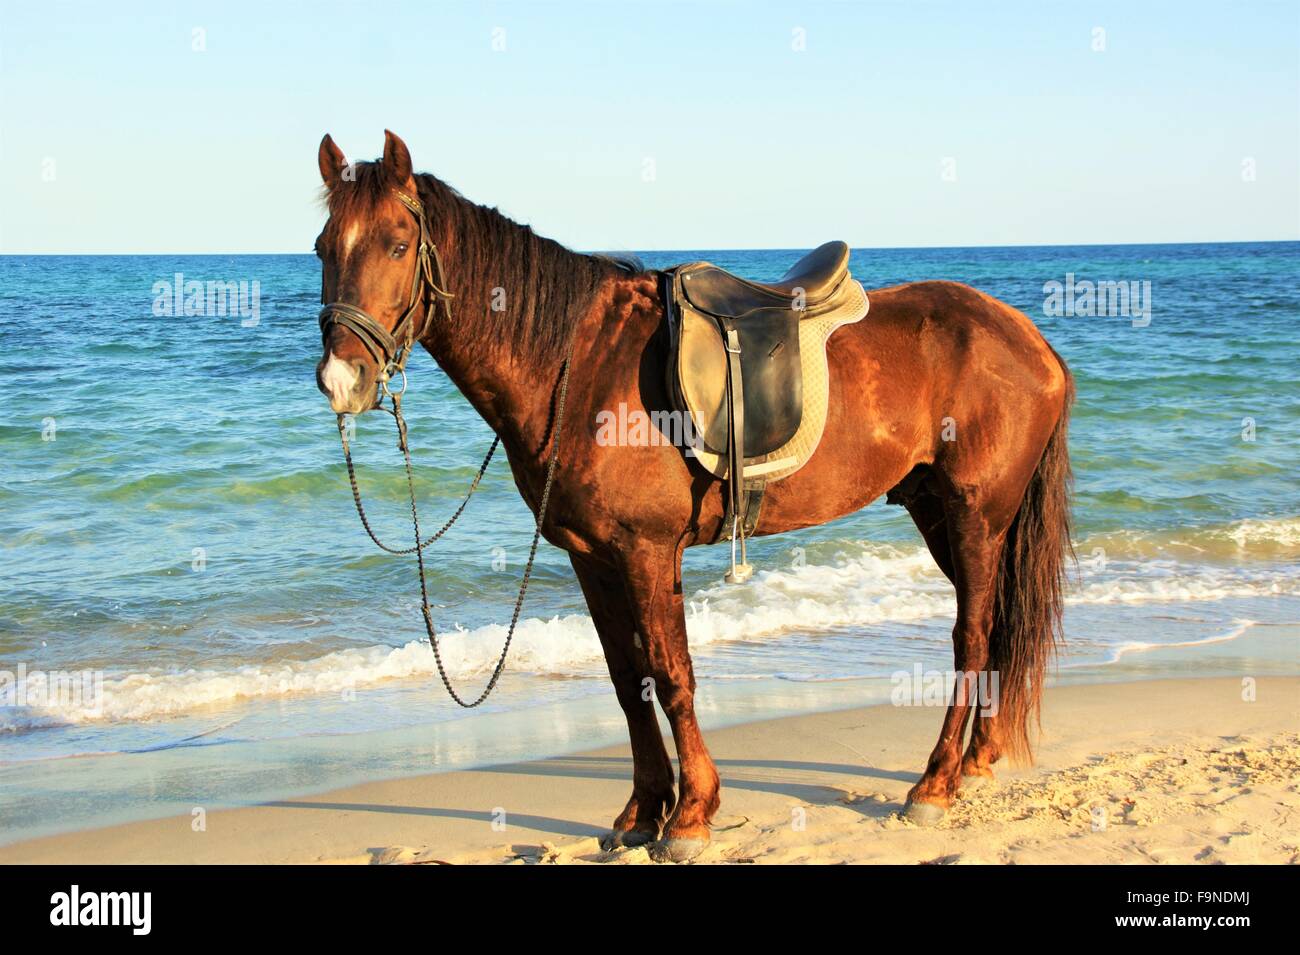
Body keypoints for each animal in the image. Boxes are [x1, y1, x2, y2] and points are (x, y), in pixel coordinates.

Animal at [314, 130, 1076, 862]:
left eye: (398, 244)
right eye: (323, 247)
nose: (340, 380)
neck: (579, 362)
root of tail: (1028, 337)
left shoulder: (647, 551)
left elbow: (670, 672)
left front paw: (689, 815)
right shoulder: (591, 557)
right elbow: (628, 680)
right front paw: (640, 812)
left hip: (976, 515)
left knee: (971, 634)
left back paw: (935, 782)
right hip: (936, 511)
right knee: (995, 626)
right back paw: (977, 760)